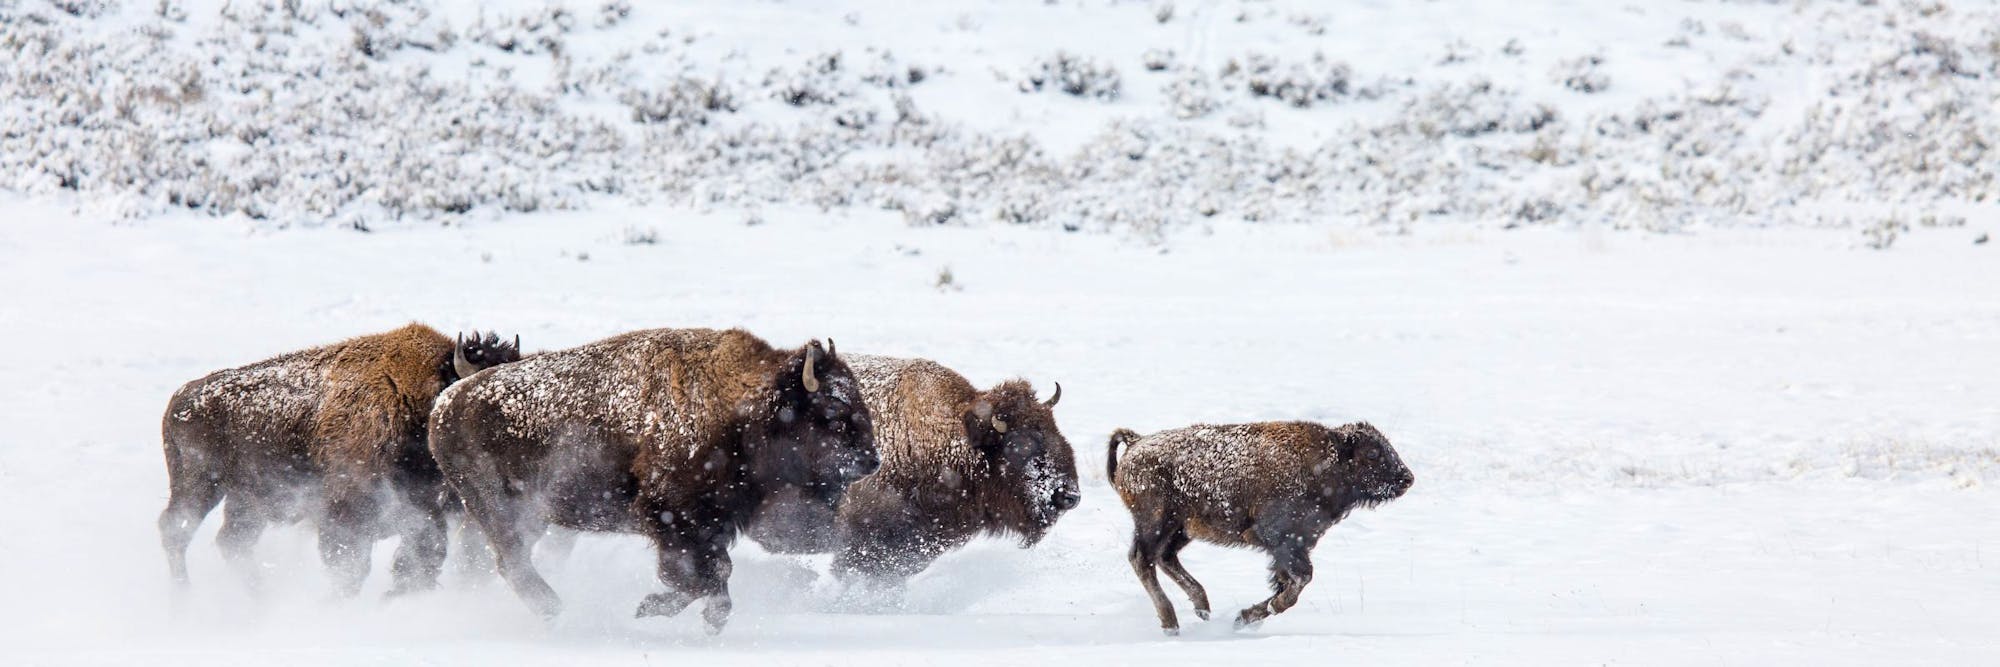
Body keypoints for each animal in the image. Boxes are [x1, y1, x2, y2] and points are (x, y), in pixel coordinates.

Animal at [158, 323, 524, 595]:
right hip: (199, 485)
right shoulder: (346, 516)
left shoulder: (425, 514)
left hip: (249, 502)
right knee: (176, 530)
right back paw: (183, 599)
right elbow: (350, 567)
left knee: (232, 543)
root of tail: (181, 397)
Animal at [430, 331, 876, 635]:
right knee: (512, 561)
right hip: (500, 509)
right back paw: (558, 612)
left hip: (527, 515)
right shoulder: (677, 519)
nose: (871, 461)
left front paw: (700, 618)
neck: (744, 410)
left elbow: (715, 573)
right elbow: (703, 574)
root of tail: (446, 404)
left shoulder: (712, 524)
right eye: (833, 414)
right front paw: (651, 608)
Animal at [1104, 421, 1416, 635]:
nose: (1407, 478)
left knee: (1165, 558)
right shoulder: (1284, 543)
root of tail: (1136, 442)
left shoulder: (1292, 548)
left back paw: (1202, 609)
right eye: (1373, 453)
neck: (1327, 462)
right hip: (1156, 522)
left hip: (1181, 529)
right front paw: (1253, 614)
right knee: (1143, 559)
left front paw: (1243, 618)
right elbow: (1298, 583)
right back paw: (1172, 624)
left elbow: (1287, 583)